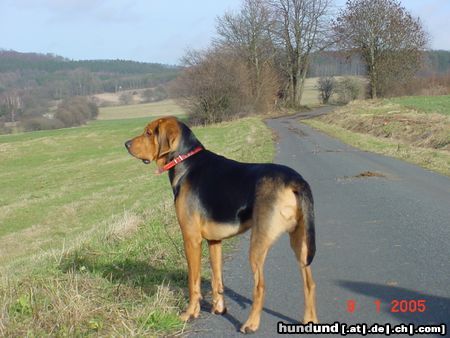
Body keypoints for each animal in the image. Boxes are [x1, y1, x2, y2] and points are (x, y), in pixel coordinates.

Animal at [125, 116, 318, 332]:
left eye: (149, 132)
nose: (126, 144)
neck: (185, 161)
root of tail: (296, 180)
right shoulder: (214, 241)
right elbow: (217, 280)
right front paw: (219, 309)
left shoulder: (191, 240)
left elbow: (193, 282)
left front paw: (190, 313)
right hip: (300, 243)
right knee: (309, 284)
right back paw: (310, 320)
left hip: (258, 244)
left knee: (260, 286)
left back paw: (251, 324)